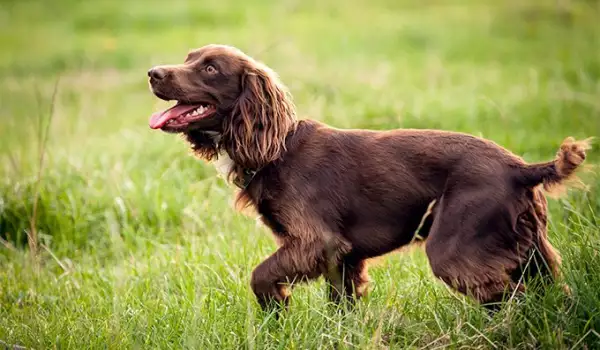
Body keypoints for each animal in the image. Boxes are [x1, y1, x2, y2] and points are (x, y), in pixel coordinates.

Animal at [146, 45, 592, 310]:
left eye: (209, 68)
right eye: (188, 57)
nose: (152, 72)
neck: (277, 149)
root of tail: (520, 169)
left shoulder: (316, 242)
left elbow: (260, 276)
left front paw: (278, 310)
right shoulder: (342, 257)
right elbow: (341, 307)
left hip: (455, 248)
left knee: (510, 298)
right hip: (532, 250)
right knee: (550, 292)